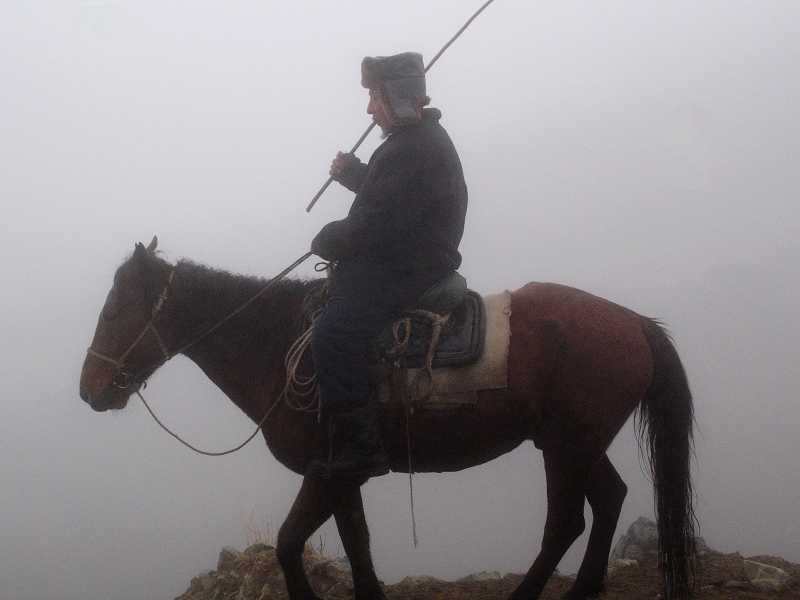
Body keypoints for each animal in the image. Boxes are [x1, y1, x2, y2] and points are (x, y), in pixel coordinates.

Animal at [78, 239, 696, 600]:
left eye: (113, 310)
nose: (89, 391)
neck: (278, 345)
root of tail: (635, 323)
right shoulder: (342, 473)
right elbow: (357, 542)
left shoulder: (325, 471)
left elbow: (288, 543)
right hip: (576, 444)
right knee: (609, 498)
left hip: (567, 448)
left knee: (566, 522)